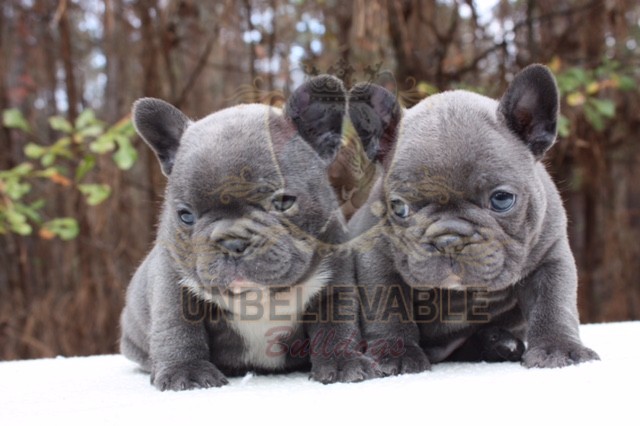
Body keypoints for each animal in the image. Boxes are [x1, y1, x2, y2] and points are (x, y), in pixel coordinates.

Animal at [120, 74, 378, 390]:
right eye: (185, 216)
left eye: (283, 202)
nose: (232, 241)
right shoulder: (172, 282)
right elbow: (177, 328)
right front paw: (187, 371)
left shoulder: (334, 280)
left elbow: (336, 324)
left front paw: (343, 361)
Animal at [350, 64, 600, 372]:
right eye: (399, 208)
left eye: (502, 199)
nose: (448, 240)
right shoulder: (376, 261)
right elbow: (388, 309)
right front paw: (395, 355)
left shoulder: (550, 258)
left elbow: (553, 304)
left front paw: (559, 348)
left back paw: (498, 343)